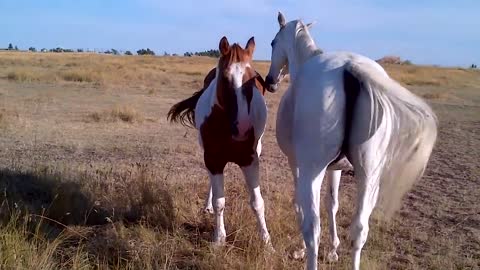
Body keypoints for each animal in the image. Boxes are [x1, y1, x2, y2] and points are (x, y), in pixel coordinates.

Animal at [169, 35, 274, 247]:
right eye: (225, 79)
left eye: (254, 80)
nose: (243, 128)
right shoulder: (213, 159)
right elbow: (220, 201)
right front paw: (219, 239)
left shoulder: (250, 161)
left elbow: (257, 202)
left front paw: (266, 242)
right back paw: (207, 207)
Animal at [264, 12, 436, 270]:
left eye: (273, 42)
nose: (270, 81)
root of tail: (349, 68)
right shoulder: (337, 168)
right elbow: (333, 203)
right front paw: (334, 250)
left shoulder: (297, 166)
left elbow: (302, 207)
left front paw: (301, 250)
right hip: (368, 177)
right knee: (359, 231)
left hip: (313, 172)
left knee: (313, 228)